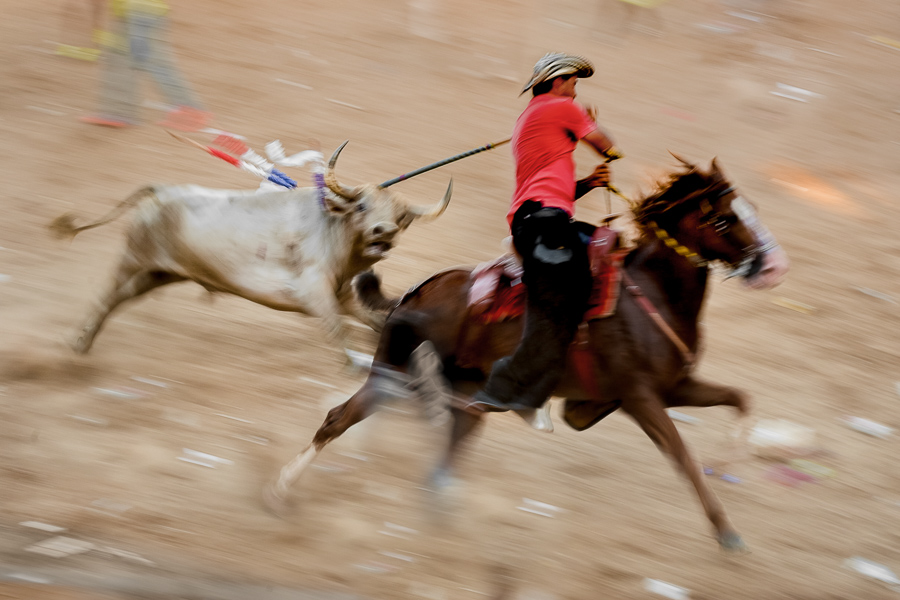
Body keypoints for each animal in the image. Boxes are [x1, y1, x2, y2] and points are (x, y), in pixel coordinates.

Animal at [51, 141, 450, 360]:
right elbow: (339, 333)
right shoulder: (315, 293)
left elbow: (375, 320)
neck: (332, 232)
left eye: (400, 217)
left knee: (122, 297)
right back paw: (79, 341)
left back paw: (83, 343)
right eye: (363, 206)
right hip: (134, 258)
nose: (385, 232)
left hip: (158, 273)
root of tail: (161, 189)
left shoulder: (342, 296)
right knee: (107, 294)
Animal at [266, 158, 788, 552]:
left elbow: (739, 398)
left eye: (753, 209)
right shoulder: (641, 396)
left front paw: (733, 460)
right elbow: (683, 456)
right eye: (724, 219)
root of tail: (418, 292)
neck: (653, 295)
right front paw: (727, 533)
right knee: (341, 417)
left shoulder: (673, 387)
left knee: (442, 449)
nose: (770, 266)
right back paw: (281, 489)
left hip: (458, 387)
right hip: (391, 372)